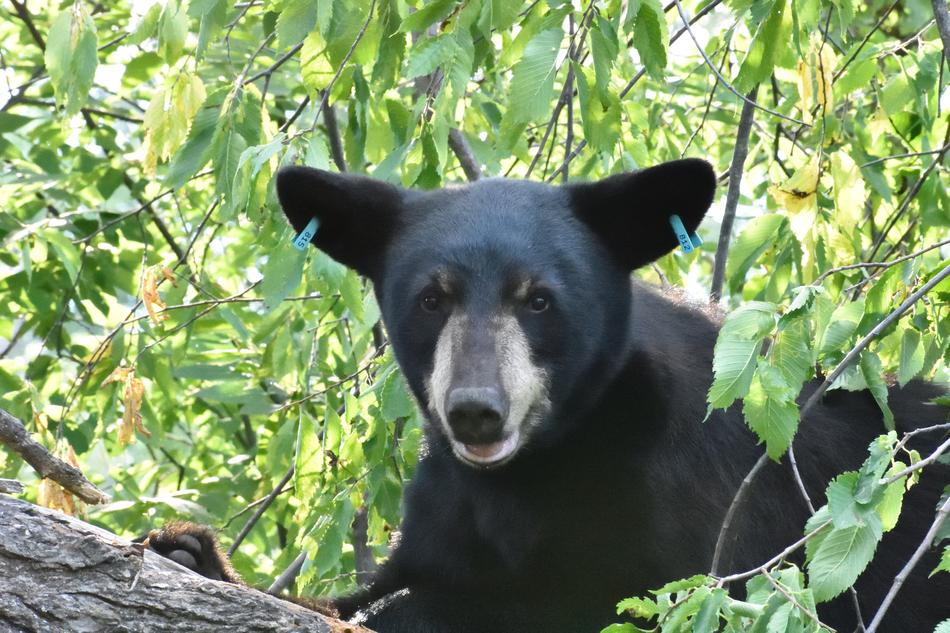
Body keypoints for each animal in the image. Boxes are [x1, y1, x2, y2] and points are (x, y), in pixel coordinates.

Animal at [147, 159, 950, 632]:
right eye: (431, 298)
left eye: (538, 299)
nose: (476, 409)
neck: (536, 468)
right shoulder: (448, 506)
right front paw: (191, 552)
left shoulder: (701, 507)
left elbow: (605, 599)